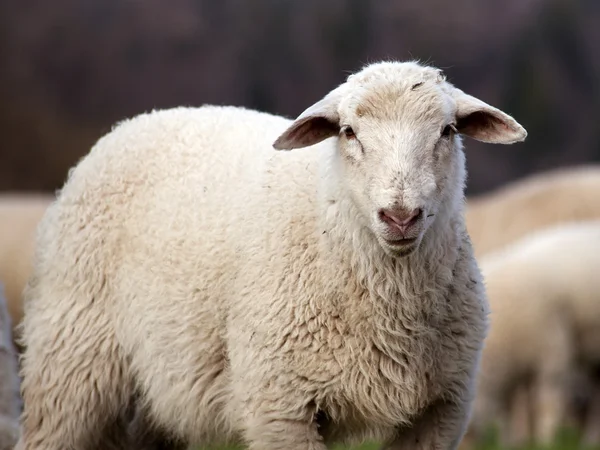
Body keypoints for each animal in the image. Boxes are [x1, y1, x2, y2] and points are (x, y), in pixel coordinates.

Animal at [16, 60, 528, 450]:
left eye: (447, 131)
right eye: (349, 132)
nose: (400, 217)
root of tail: (134, 122)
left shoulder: (442, 409)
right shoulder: (280, 405)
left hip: (155, 396)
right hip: (70, 356)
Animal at [472, 220, 600, 448]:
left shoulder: (551, 356)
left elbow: (546, 406)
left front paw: (546, 441)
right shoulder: (513, 368)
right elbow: (509, 413)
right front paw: (510, 443)